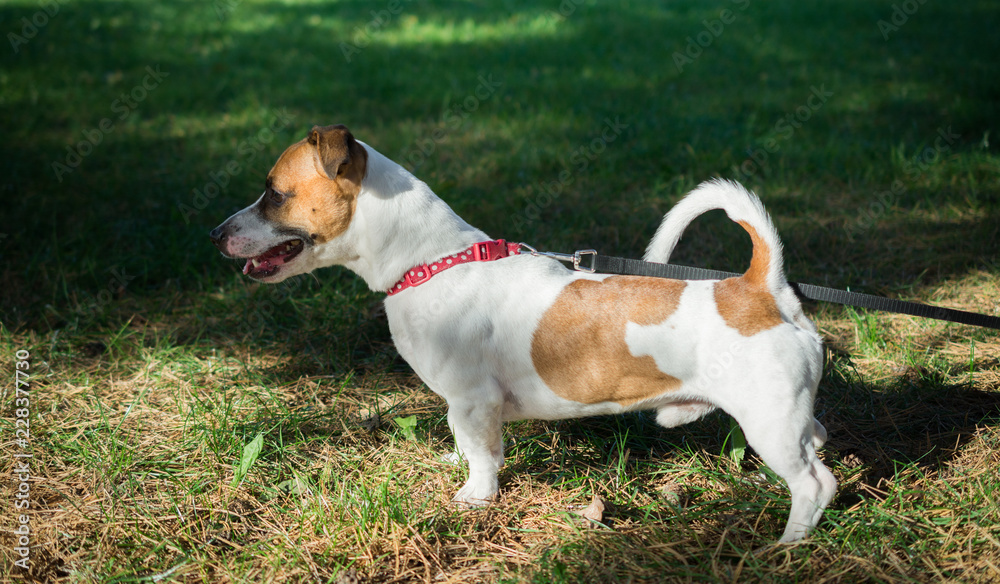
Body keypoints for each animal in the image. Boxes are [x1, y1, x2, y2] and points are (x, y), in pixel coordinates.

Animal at [209, 123, 836, 544]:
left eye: (274, 192)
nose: (214, 235)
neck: (432, 261)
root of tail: (760, 288)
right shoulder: (468, 408)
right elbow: (471, 446)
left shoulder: (472, 400)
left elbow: (483, 457)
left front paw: (474, 498)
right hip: (784, 416)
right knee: (818, 442)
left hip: (767, 421)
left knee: (814, 484)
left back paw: (785, 546)